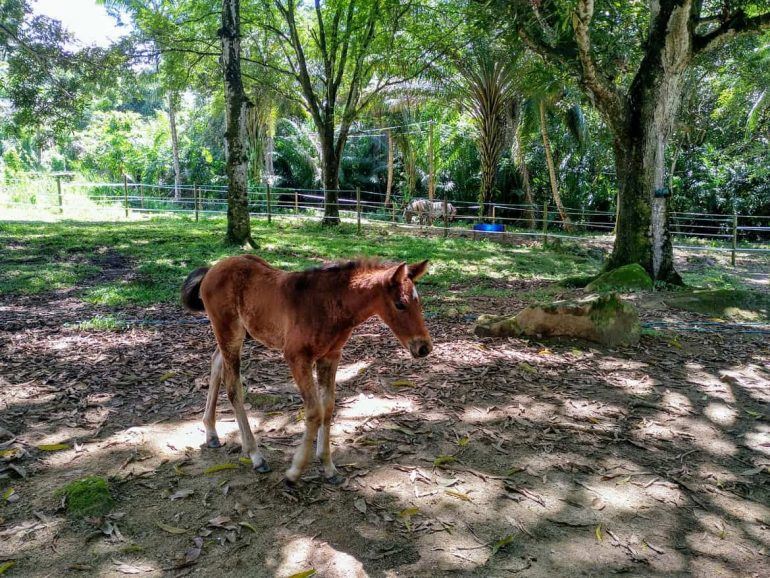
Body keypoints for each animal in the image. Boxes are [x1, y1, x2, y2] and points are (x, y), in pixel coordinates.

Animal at [182, 254, 432, 484]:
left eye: (419, 303)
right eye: (400, 304)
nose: (424, 347)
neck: (328, 304)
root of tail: (212, 269)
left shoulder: (330, 357)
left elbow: (328, 406)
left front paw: (329, 467)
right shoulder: (297, 358)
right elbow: (314, 411)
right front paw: (295, 471)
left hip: (239, 334)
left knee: (216, 363)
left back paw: (211, 433)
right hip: (228, 332)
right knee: (233, 387)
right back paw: (256, 456)